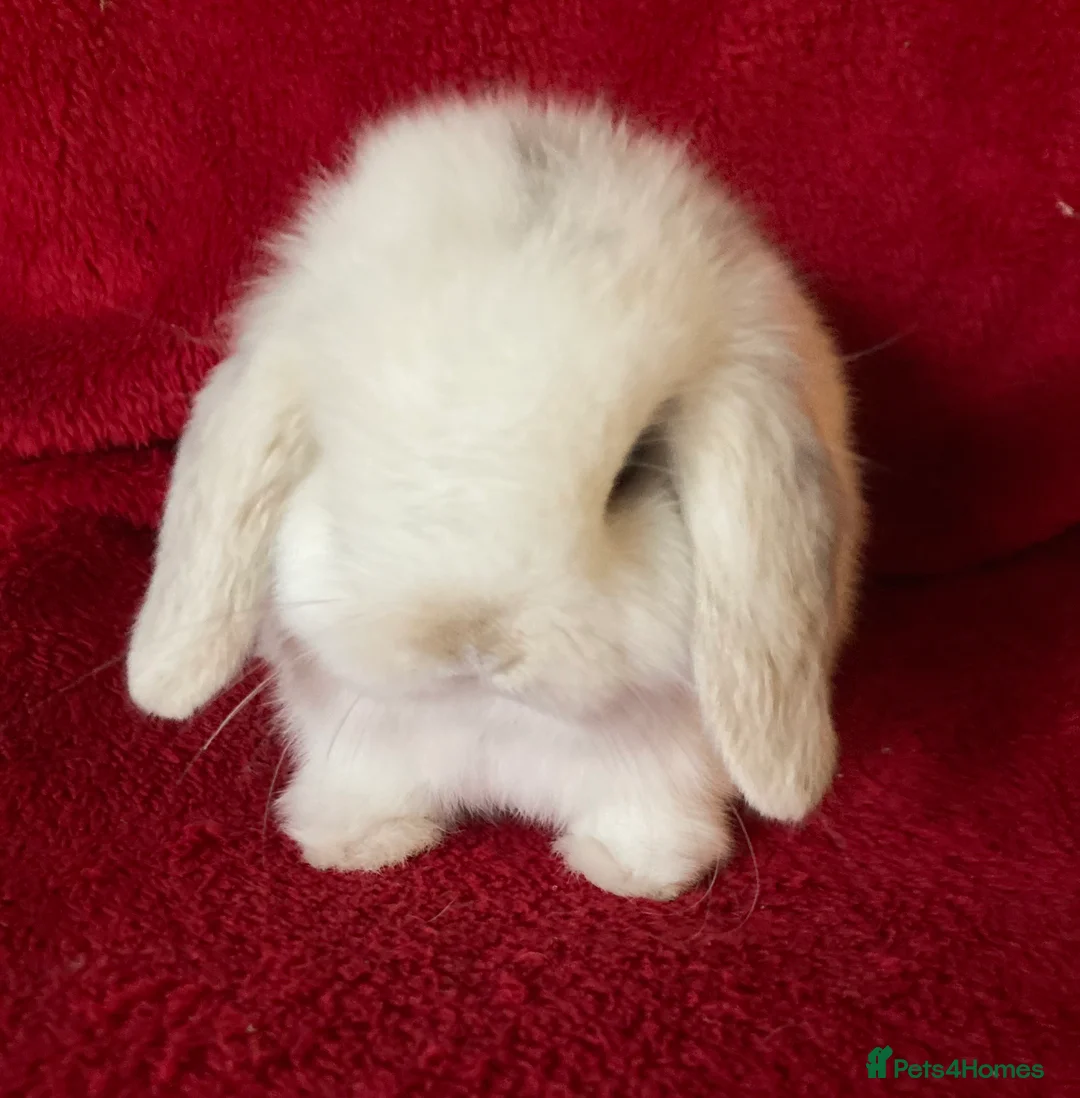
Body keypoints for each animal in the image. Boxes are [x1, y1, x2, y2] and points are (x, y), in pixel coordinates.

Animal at [126, 92, 865, 900]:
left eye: (635, 467)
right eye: (337, 442)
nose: (469, 639)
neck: (490, 716)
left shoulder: (667, 770)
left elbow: (650, 810)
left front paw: (632, 872)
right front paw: (356, 845)